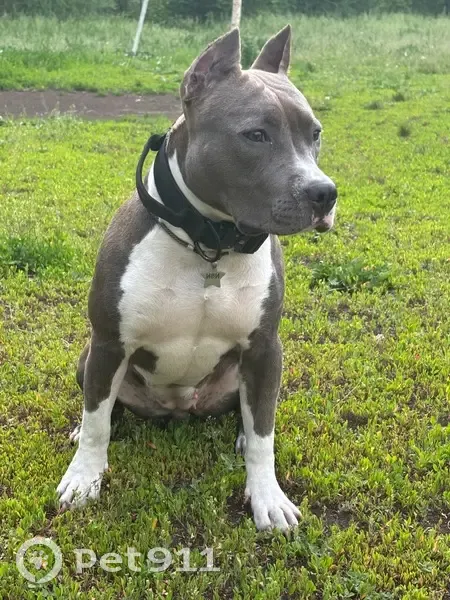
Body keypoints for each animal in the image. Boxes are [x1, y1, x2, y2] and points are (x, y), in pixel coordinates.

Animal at [57, 25, 337, 531]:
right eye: (256, 135)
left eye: (315, 134)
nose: (324, 193)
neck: (210, 244)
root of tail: (177, 411)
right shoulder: (109, 343)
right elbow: (96, 423)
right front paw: (83, 478)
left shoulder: (265, 347)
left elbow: (264, 435)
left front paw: (267, 497)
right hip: (87, 357)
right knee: (103, 409)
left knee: (253, 414)